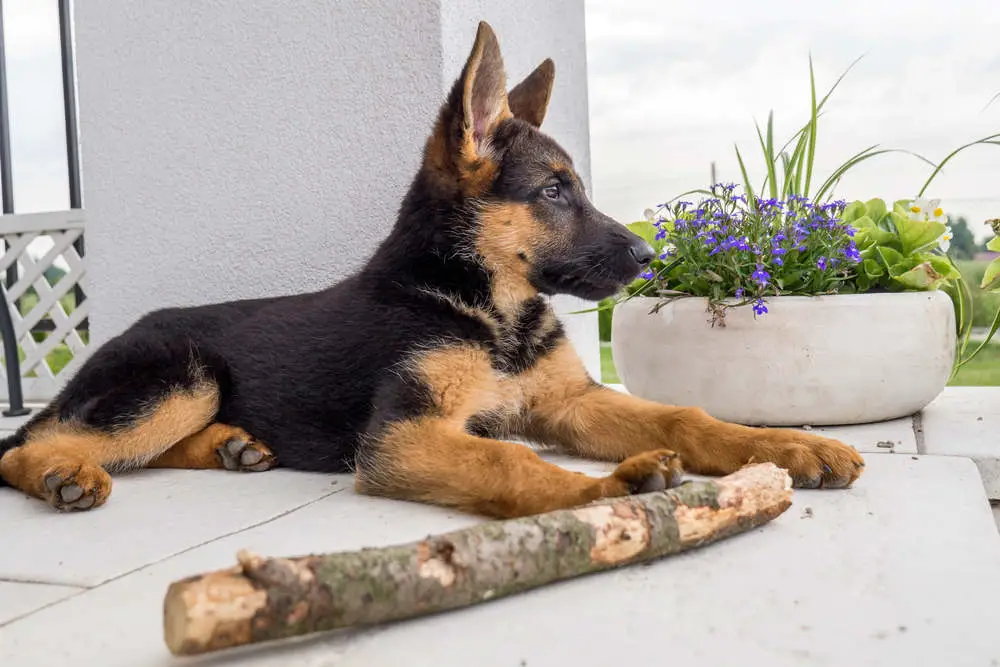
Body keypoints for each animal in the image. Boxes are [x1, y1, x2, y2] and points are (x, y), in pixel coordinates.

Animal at [0, 22, 860, 516]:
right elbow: (511, 461)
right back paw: (65, 472)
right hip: (183, 374)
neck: (483, 302)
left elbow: (685, 416)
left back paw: (230, 448)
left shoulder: (569, 403)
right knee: (27, 445)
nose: (651, 257)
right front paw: (608, 489)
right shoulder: (404, 435)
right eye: (554, 191)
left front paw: (790, 446)